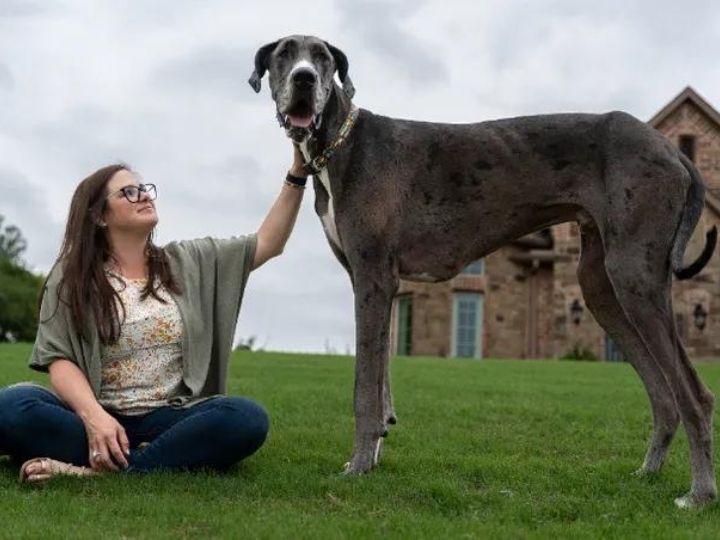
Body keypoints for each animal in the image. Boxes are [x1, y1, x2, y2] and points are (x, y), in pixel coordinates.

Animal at [249, 33, 716, 506]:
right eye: (284, 54)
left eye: (322, 57)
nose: (304, 79)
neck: (341, 144)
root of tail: (672, 150)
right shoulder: (376, 285)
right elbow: (381, 382)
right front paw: (374, 455)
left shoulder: (373, 278)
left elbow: (365, 387)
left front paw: (358, 466)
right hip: (601, 287)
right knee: (664, 395)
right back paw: (648, 472)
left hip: (634, 277)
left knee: (695, 395)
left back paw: (699, 494)